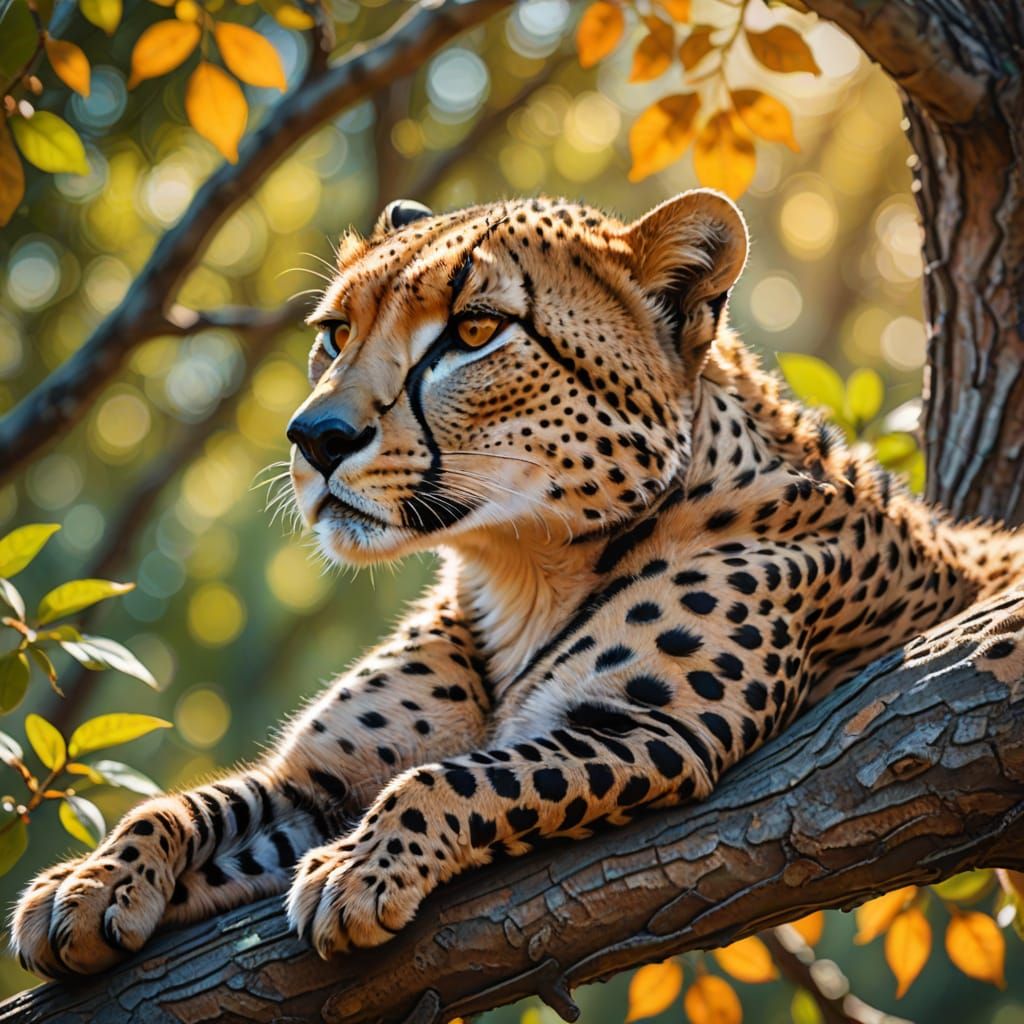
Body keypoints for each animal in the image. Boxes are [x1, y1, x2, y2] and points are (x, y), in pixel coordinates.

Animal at [12, 189, 1024, 978]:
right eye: (336, 333)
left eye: (473, 332)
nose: (314, 438)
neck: (516, 566)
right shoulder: (319, 781)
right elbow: (185, 805)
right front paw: (86, 884)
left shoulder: (653, 731)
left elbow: (457, 775)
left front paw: (359, 871)